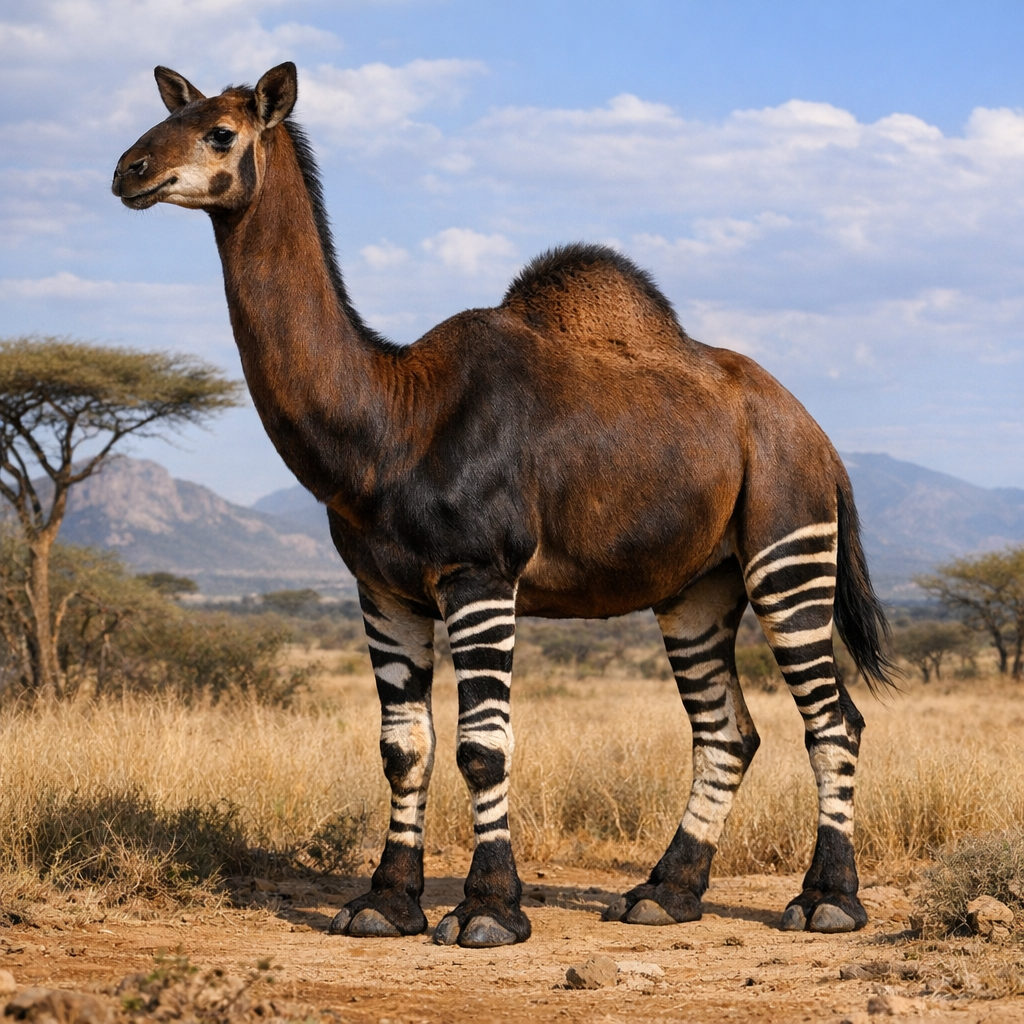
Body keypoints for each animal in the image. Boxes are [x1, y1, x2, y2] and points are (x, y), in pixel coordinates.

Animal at [113, 62, 892, 949]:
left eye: (221, 133)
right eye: (171, 117)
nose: (130, 171)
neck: (392, 419)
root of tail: (821, 441)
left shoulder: (478, 574)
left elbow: (482, 747)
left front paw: (488, 909)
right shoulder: (383, 591)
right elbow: (403, 747)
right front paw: (385, 904)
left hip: (788, 555)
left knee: (832, 721)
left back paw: (828, 901)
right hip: (698, 589)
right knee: (728, 732)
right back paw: (664, 893)